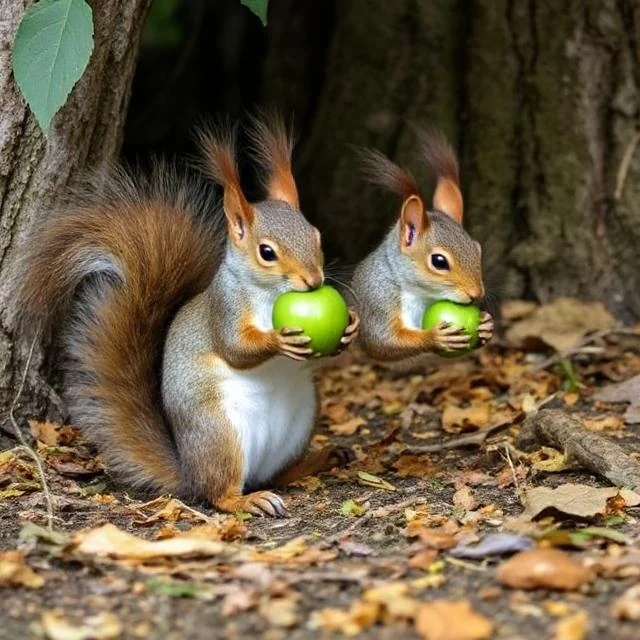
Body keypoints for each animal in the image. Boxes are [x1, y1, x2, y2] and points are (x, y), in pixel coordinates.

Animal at [16, 115, 359, 517]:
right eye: (267, 252)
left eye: (316, 236)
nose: (314, 281)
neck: (270, 294)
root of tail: (188, 472)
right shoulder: (223, 308)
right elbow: (234, 348)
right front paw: (278, 339)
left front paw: (350, 327)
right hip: (219, 433)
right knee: (219, 493)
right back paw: (248, 499)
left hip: (301, 419)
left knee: (278, 474)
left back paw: (321, 460)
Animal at [351, 130, 493, 362]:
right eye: (439, 261)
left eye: (477, 249)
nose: (476, 295)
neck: (422, 294)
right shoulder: (377, 299)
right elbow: (382, 341)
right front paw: (435, 337)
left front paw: (487, 325)